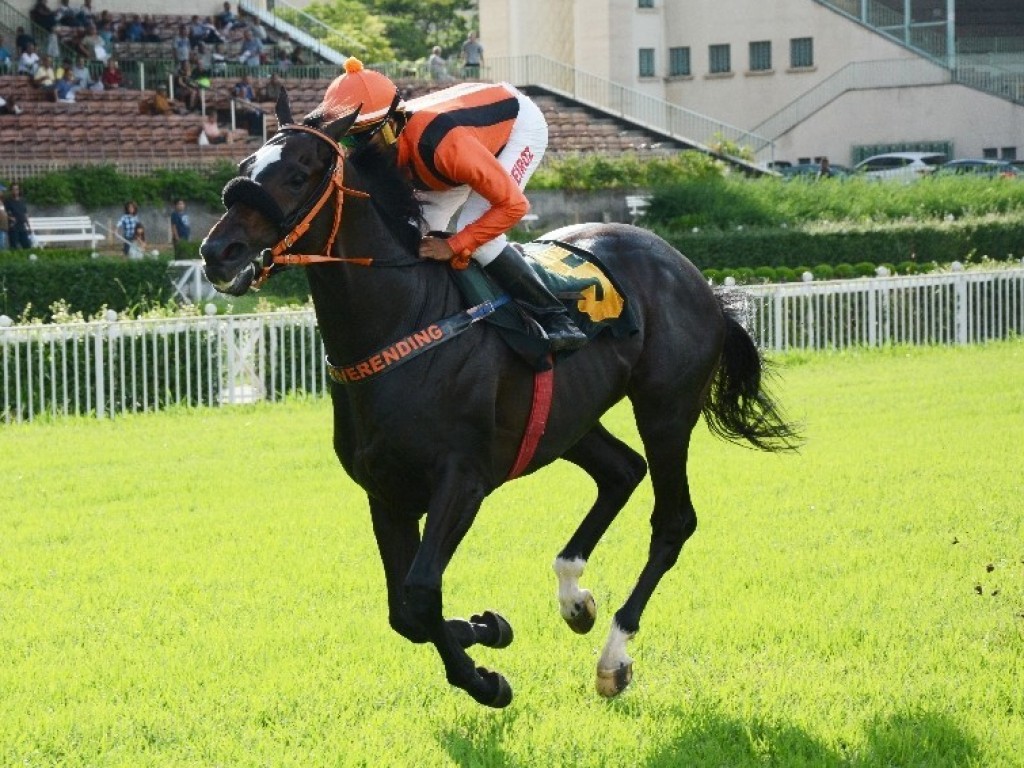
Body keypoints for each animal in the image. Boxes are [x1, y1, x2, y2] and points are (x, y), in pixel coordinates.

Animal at [195, 93, 794, 712]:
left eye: (297, 174)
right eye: (245, 166)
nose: (218, 251)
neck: (404, 320)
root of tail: (699, 279)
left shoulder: (462, 480)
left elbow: (420, 593)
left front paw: (486, 679)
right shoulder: (386, 491)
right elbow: (404, 612)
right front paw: (487, 629)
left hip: (666, 410)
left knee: (672, 521)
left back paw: (613, 657)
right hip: (568, 421)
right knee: (623, 471)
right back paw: (574, 597)